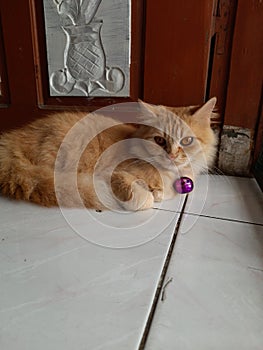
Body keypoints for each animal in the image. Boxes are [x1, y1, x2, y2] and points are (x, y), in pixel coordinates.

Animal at [0, 98, 219, 211]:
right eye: (159, 140)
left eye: (187, 141)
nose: (172, 156)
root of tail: (10, 140)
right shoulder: (113, 173)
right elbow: (144, 199)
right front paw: (150, 195)